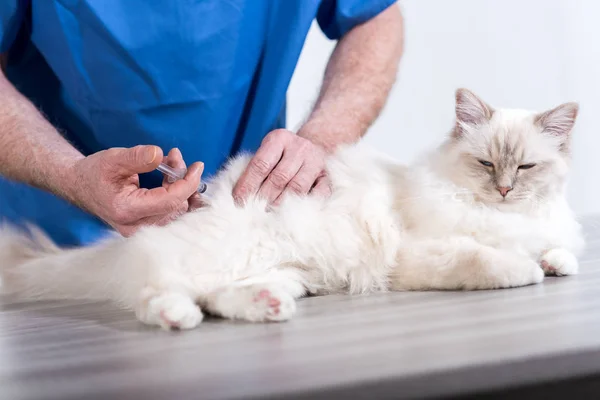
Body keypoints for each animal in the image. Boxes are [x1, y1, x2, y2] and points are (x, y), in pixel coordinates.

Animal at [0, 89, 584, 330]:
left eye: (525, 168)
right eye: (487, 164)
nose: (504, 191)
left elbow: (561, 253)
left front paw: (554, 260)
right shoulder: (417, 256)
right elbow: (488, 260)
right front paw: (526, 269)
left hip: (283, 269)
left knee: (220, 296)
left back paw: (268, 307)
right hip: (219, 256)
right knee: (158, 294)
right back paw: (178, 318)